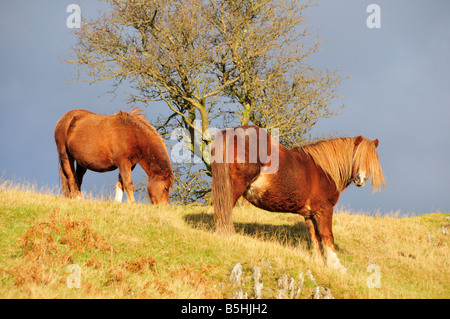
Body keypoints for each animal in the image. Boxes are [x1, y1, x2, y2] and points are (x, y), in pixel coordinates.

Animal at [213, 125, 384, 272]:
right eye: (357, 156)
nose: (361, 179)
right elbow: (327, 235)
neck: (324, 171)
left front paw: (318, 262)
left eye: (371, 160)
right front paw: (336, 266)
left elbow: (315, 237)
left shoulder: (310, 214)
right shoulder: (325, 210)